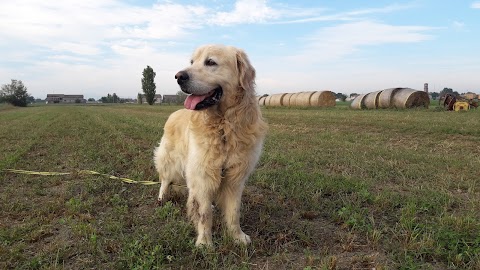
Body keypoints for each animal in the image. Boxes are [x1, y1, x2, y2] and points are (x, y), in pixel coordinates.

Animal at [153, 44, 266, 247]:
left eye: (210, 62)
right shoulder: (202, 174)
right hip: (170, 161)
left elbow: (234, 212)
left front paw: (237, 236)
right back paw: (161, 198)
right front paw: (205, 243)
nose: (179, 76)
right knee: (165, 181)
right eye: (192, 62)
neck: (224, 127)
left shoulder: (235, 178)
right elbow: (204, 214)